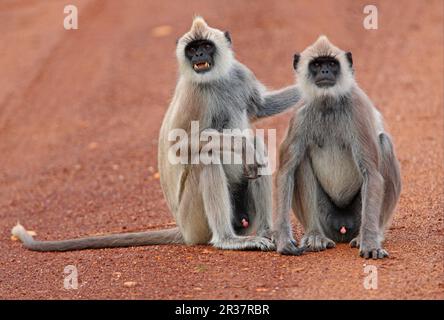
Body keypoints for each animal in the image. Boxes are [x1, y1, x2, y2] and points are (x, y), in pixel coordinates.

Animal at [11, 16, 302, 252]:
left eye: (206, 46)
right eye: (192, 49)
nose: (198, 55)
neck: (214, 80)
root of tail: (183, 230)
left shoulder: (238, 73)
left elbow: (261, 107)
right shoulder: (193, 94)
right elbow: (179, 145)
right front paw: (243, 146)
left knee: (256, 151)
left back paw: (266, 231)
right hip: (194, 220)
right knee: (207, 156)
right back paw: (228, 240)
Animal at [274, 36, 402, 258]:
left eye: (332, 64)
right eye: (317, 64)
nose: (325, 71)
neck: (328, 104)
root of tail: (342, 226)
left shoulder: (357, 109)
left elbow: (372, 173)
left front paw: (370, 243)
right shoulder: (299, 115)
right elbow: (285, 172)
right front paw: (283, 241)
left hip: (359, 215)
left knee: (384, 142)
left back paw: (367, 235)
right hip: (327, 218)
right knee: (301, 159)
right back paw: (315, 235)